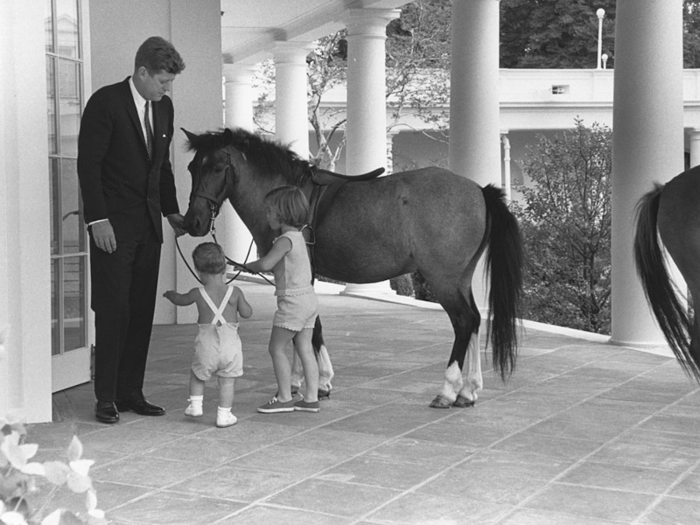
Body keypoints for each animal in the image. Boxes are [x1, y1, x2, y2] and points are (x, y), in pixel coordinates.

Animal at [180, 126, 524, 406]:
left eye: (217, 167)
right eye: (192, 167)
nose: (193, 222)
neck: (287, 194)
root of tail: (479, 191)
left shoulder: (293, 274)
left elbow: (305, 326)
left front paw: (314, 383)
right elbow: (303, 325)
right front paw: (306, 381)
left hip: (443, 278)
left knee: (464, 321)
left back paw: (448, 390)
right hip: (461, 277)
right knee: (476, 320)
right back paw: (469, 390)